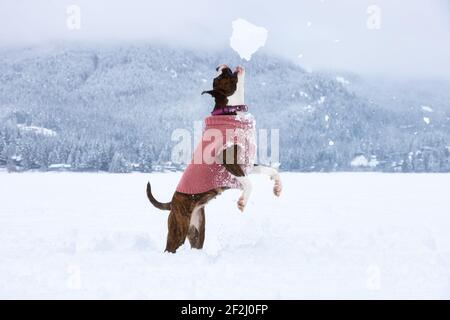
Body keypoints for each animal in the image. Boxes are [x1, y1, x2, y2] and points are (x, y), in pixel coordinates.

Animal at [147, 64, 282, 252]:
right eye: (220, 77)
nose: (220, 66)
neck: (231, 111)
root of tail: (172, 202)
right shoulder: (228, 161)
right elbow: (249, 183)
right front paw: (242, 202)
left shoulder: (246, 164)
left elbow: (272, 170)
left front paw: (277, 188)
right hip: (178, 231)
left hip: (197, 229)